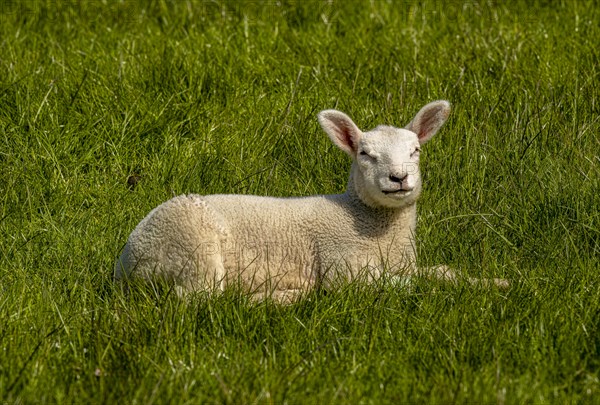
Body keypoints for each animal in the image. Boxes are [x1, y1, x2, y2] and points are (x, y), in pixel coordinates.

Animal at [116, 99, 506, 302]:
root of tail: (125, 260)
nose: (399, 178)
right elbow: (407, 285)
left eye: (416, 151)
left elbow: (442, 272)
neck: (366, 220)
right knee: (202, 299)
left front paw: (496, 284)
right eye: (364, 154)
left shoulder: (404, 263)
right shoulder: (344, 265)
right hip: (193, 247)